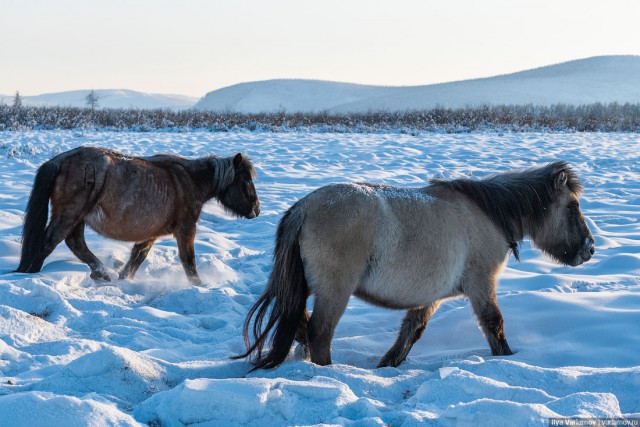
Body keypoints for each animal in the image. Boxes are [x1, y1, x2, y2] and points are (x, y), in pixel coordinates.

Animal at [16, 147, 258, 284]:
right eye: (245, 180)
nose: (256, 209)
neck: (189, 180)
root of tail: (61, 160)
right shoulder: (186, 229)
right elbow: (189, 261)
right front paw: (199, 285)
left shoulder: (150, 234)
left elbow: (137, 258)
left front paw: (125, 280)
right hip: (69, 214)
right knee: (49, 243)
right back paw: (31, 275)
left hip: (77, 217)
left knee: (75, 243)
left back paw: (102, 273)